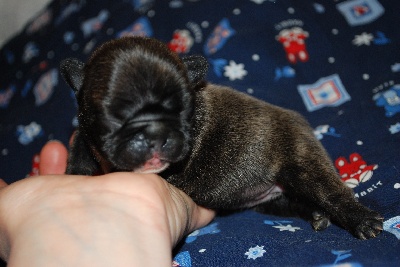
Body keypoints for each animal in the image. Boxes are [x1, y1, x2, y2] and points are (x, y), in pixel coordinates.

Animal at [61, 36, 382, 240]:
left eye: (181, 108)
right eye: (114, 116)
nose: (155, 136)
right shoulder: (84, 137)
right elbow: (80, 153)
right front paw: (76, 175)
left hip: (300, 161)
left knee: (329, 192)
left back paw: (361, 219)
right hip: (271, 198)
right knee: (293, 201)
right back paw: (315, 213)